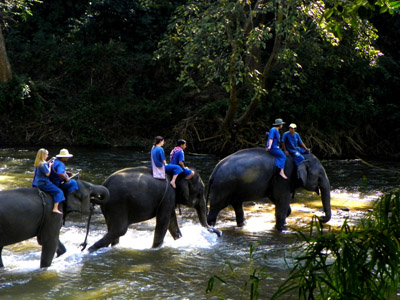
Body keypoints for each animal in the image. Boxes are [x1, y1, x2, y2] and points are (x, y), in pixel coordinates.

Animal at [87, 165, 220, 252]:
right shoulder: (168, 195)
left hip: (110, 207)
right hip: (118, 204)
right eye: (200, 192)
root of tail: (104, 184)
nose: (219, 233)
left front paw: (179, 240)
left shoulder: (169, 199)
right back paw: (90, 249)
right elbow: (163, 221)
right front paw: (154, 249)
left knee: (113, 229)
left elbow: (172, 222)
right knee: (120, 230)